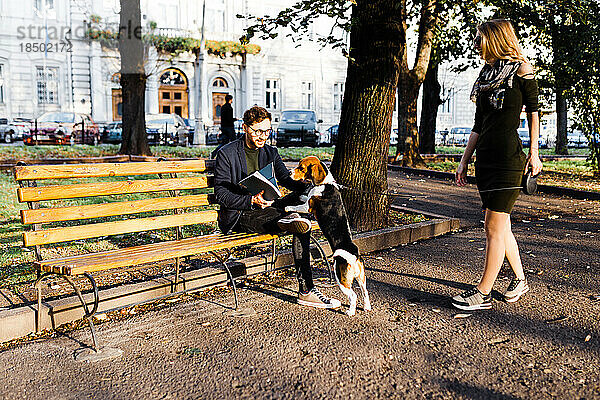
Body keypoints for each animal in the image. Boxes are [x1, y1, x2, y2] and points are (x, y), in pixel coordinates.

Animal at [284, 156, 368, 316]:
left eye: (301, 168)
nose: (289, 172)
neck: (325, 183)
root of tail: (353, 255)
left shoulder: (307, 207)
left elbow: (299, 205)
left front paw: (287, 206)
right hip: (361, 278)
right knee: (365, 292)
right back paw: (367, 307)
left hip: (341, 278)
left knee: (353, 295)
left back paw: (350, 312)